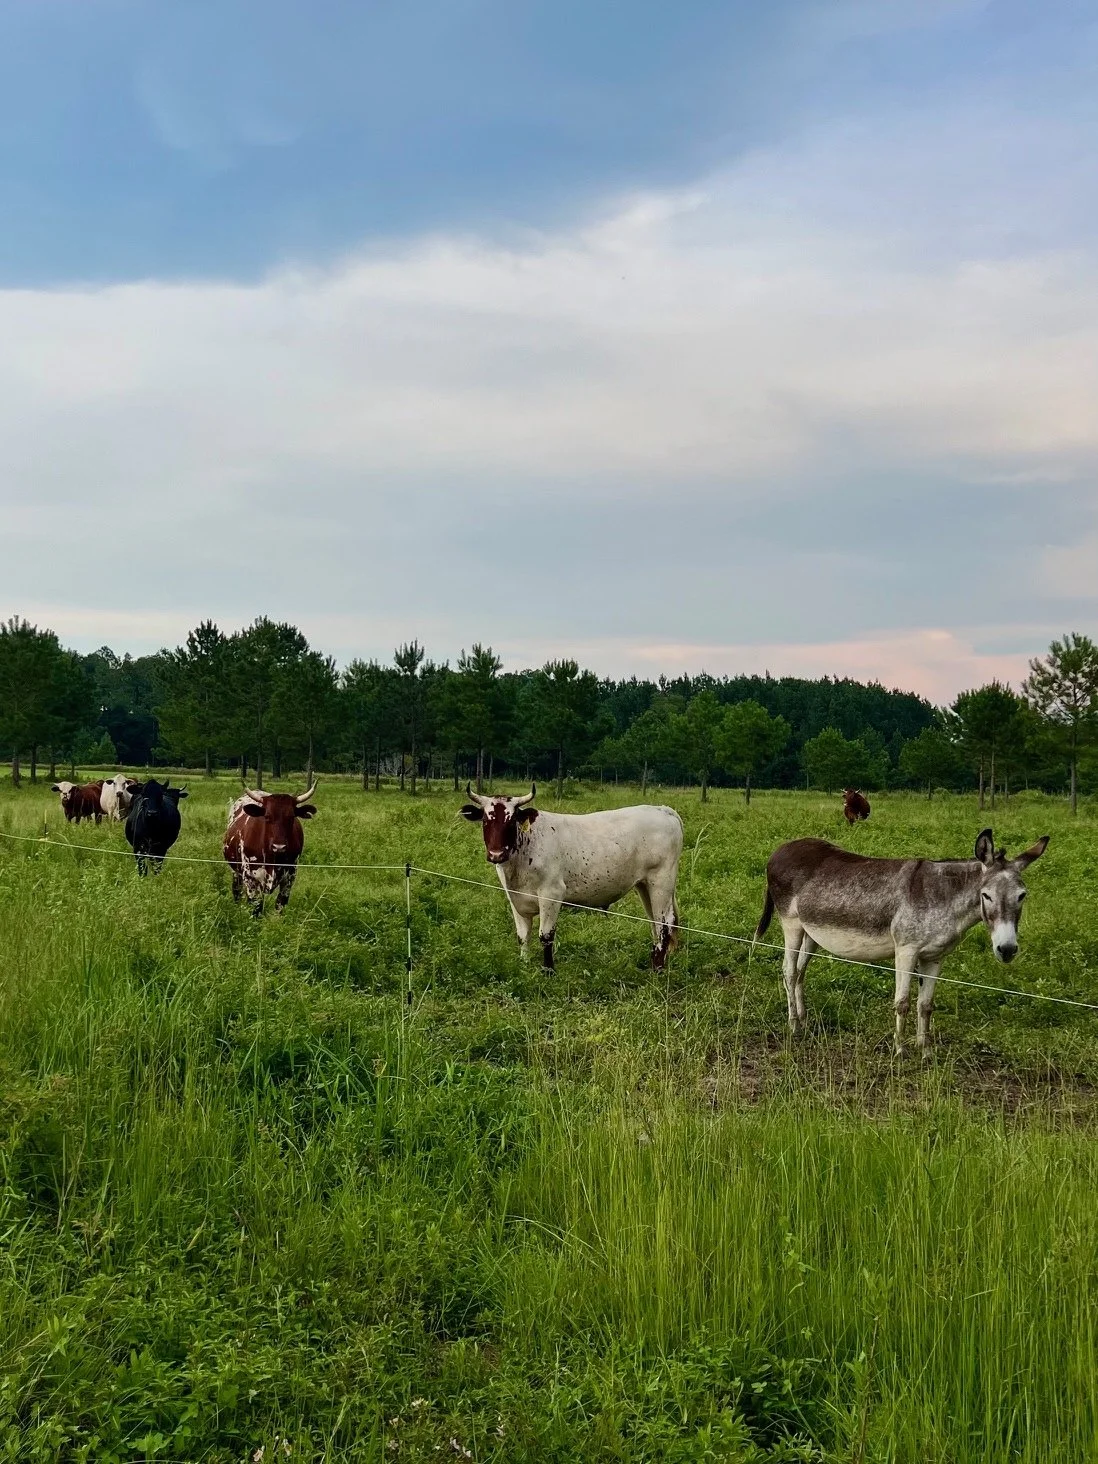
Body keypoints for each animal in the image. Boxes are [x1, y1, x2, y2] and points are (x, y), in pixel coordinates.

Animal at [223, 781, 318, 914]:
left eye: (291, 817)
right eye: (267, 816)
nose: (279, 847)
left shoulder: (289, 879)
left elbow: (279, 906)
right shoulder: (251, 879)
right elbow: (256, 908)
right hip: (236, 872)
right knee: (236, 891)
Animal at [460, 785, 683, 969]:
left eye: (511, 820)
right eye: (486, 820)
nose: (496, 854)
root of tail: (662, 809)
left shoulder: (552, 894)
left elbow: (546, 936)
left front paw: (548, 970)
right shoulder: (515, 898)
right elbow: (523, 936)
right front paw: (524, 965)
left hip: (661, 882)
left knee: (665, 923)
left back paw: (658, 969)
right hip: (644, 885)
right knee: (654, 922)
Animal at [754, 827, 1049, 1052]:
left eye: (1022, 895)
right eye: (986, 895)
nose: (1007, 950)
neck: (943, 897)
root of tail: (781, 848)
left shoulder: (935, 957)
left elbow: (926, 1005)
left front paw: (925, 1050)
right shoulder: (906, 950)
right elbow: (903, 1002)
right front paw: (899, 1050)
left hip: (811, 932)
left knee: (801, 971)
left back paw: (804, 1021)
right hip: (791, 924)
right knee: (789, 971)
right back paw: (794, 1026)